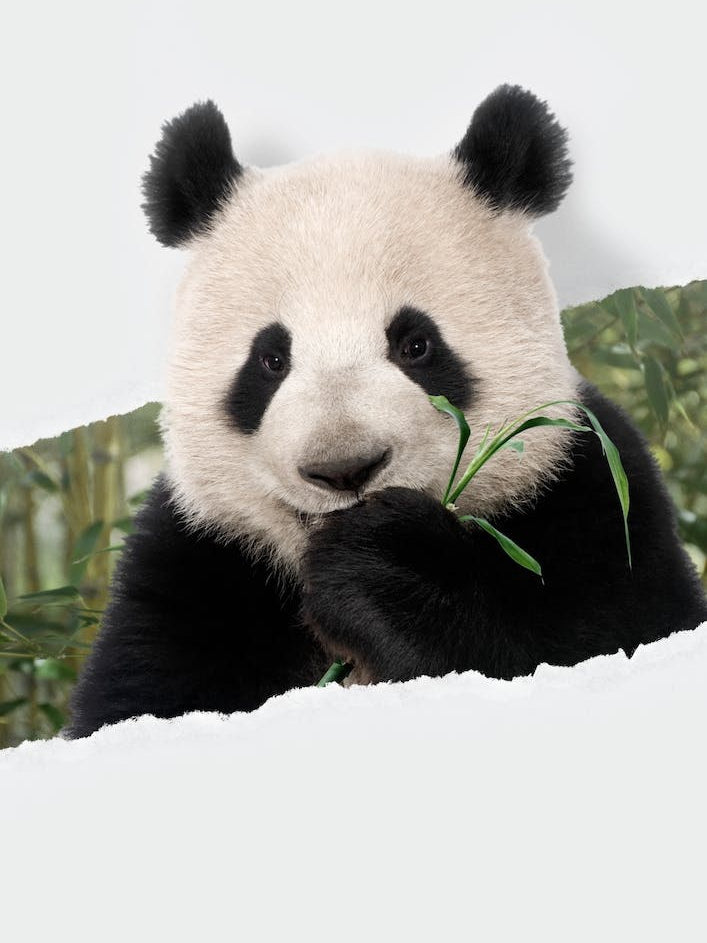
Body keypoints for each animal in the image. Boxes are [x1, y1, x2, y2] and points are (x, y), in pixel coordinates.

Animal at [67, 85, 707, 739]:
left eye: (416, 345)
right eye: (271, 360)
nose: (344, 469)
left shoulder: (589, 491)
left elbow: (594, 632)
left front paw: (384, 565)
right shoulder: (199, 565)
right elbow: (139, 691)